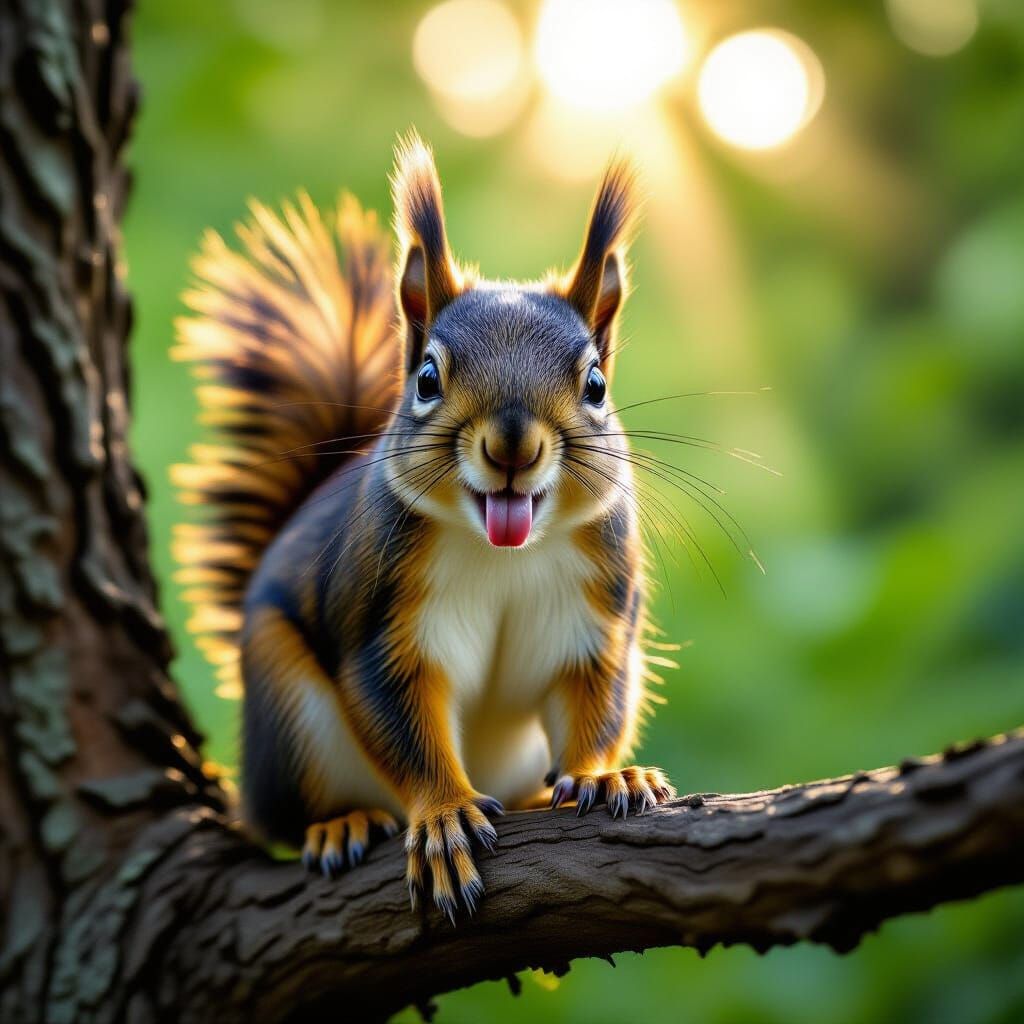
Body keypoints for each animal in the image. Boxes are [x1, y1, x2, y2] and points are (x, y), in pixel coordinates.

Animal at [172, 133, 675, 919]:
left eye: (596, 384)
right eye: (428, 378)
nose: (512, 446)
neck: (504, 552)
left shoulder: (598, 617)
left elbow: (594, 700)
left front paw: (602, 775)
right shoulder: (384, 623)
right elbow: (404, 722)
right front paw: (442, 817)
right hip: (287, 711)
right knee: (296, 810)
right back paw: (340, 823)